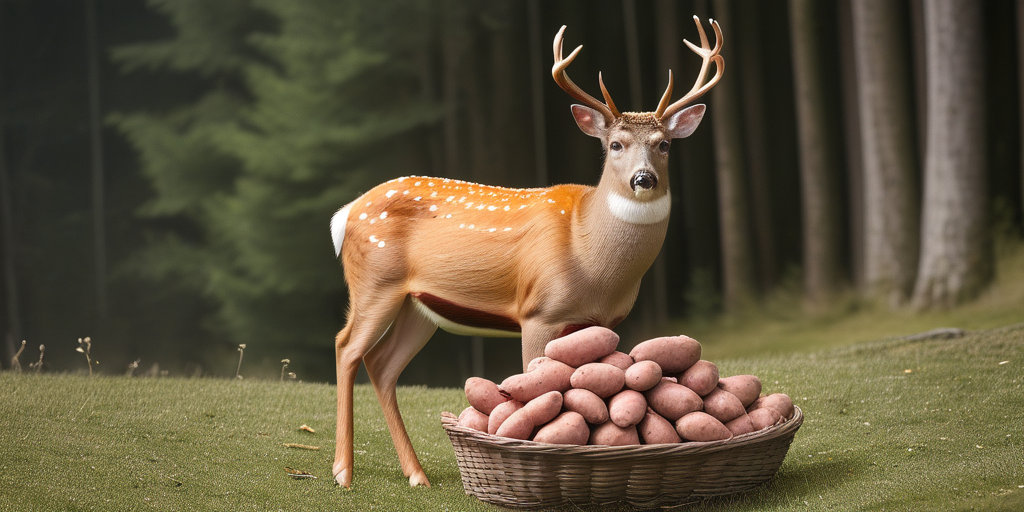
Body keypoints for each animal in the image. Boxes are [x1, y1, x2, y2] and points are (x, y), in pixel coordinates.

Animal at [329, 17, 723, 488]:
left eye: (664, 144)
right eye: (616, 144)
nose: (643, 179)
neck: (590, 255)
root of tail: (345, 213)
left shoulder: (601, 323)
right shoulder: (539, 311)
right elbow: (535, 381)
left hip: (417, 305)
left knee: (382, 365)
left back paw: (416, 476)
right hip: (375, 281)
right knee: (346, 347)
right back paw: (343, 472)